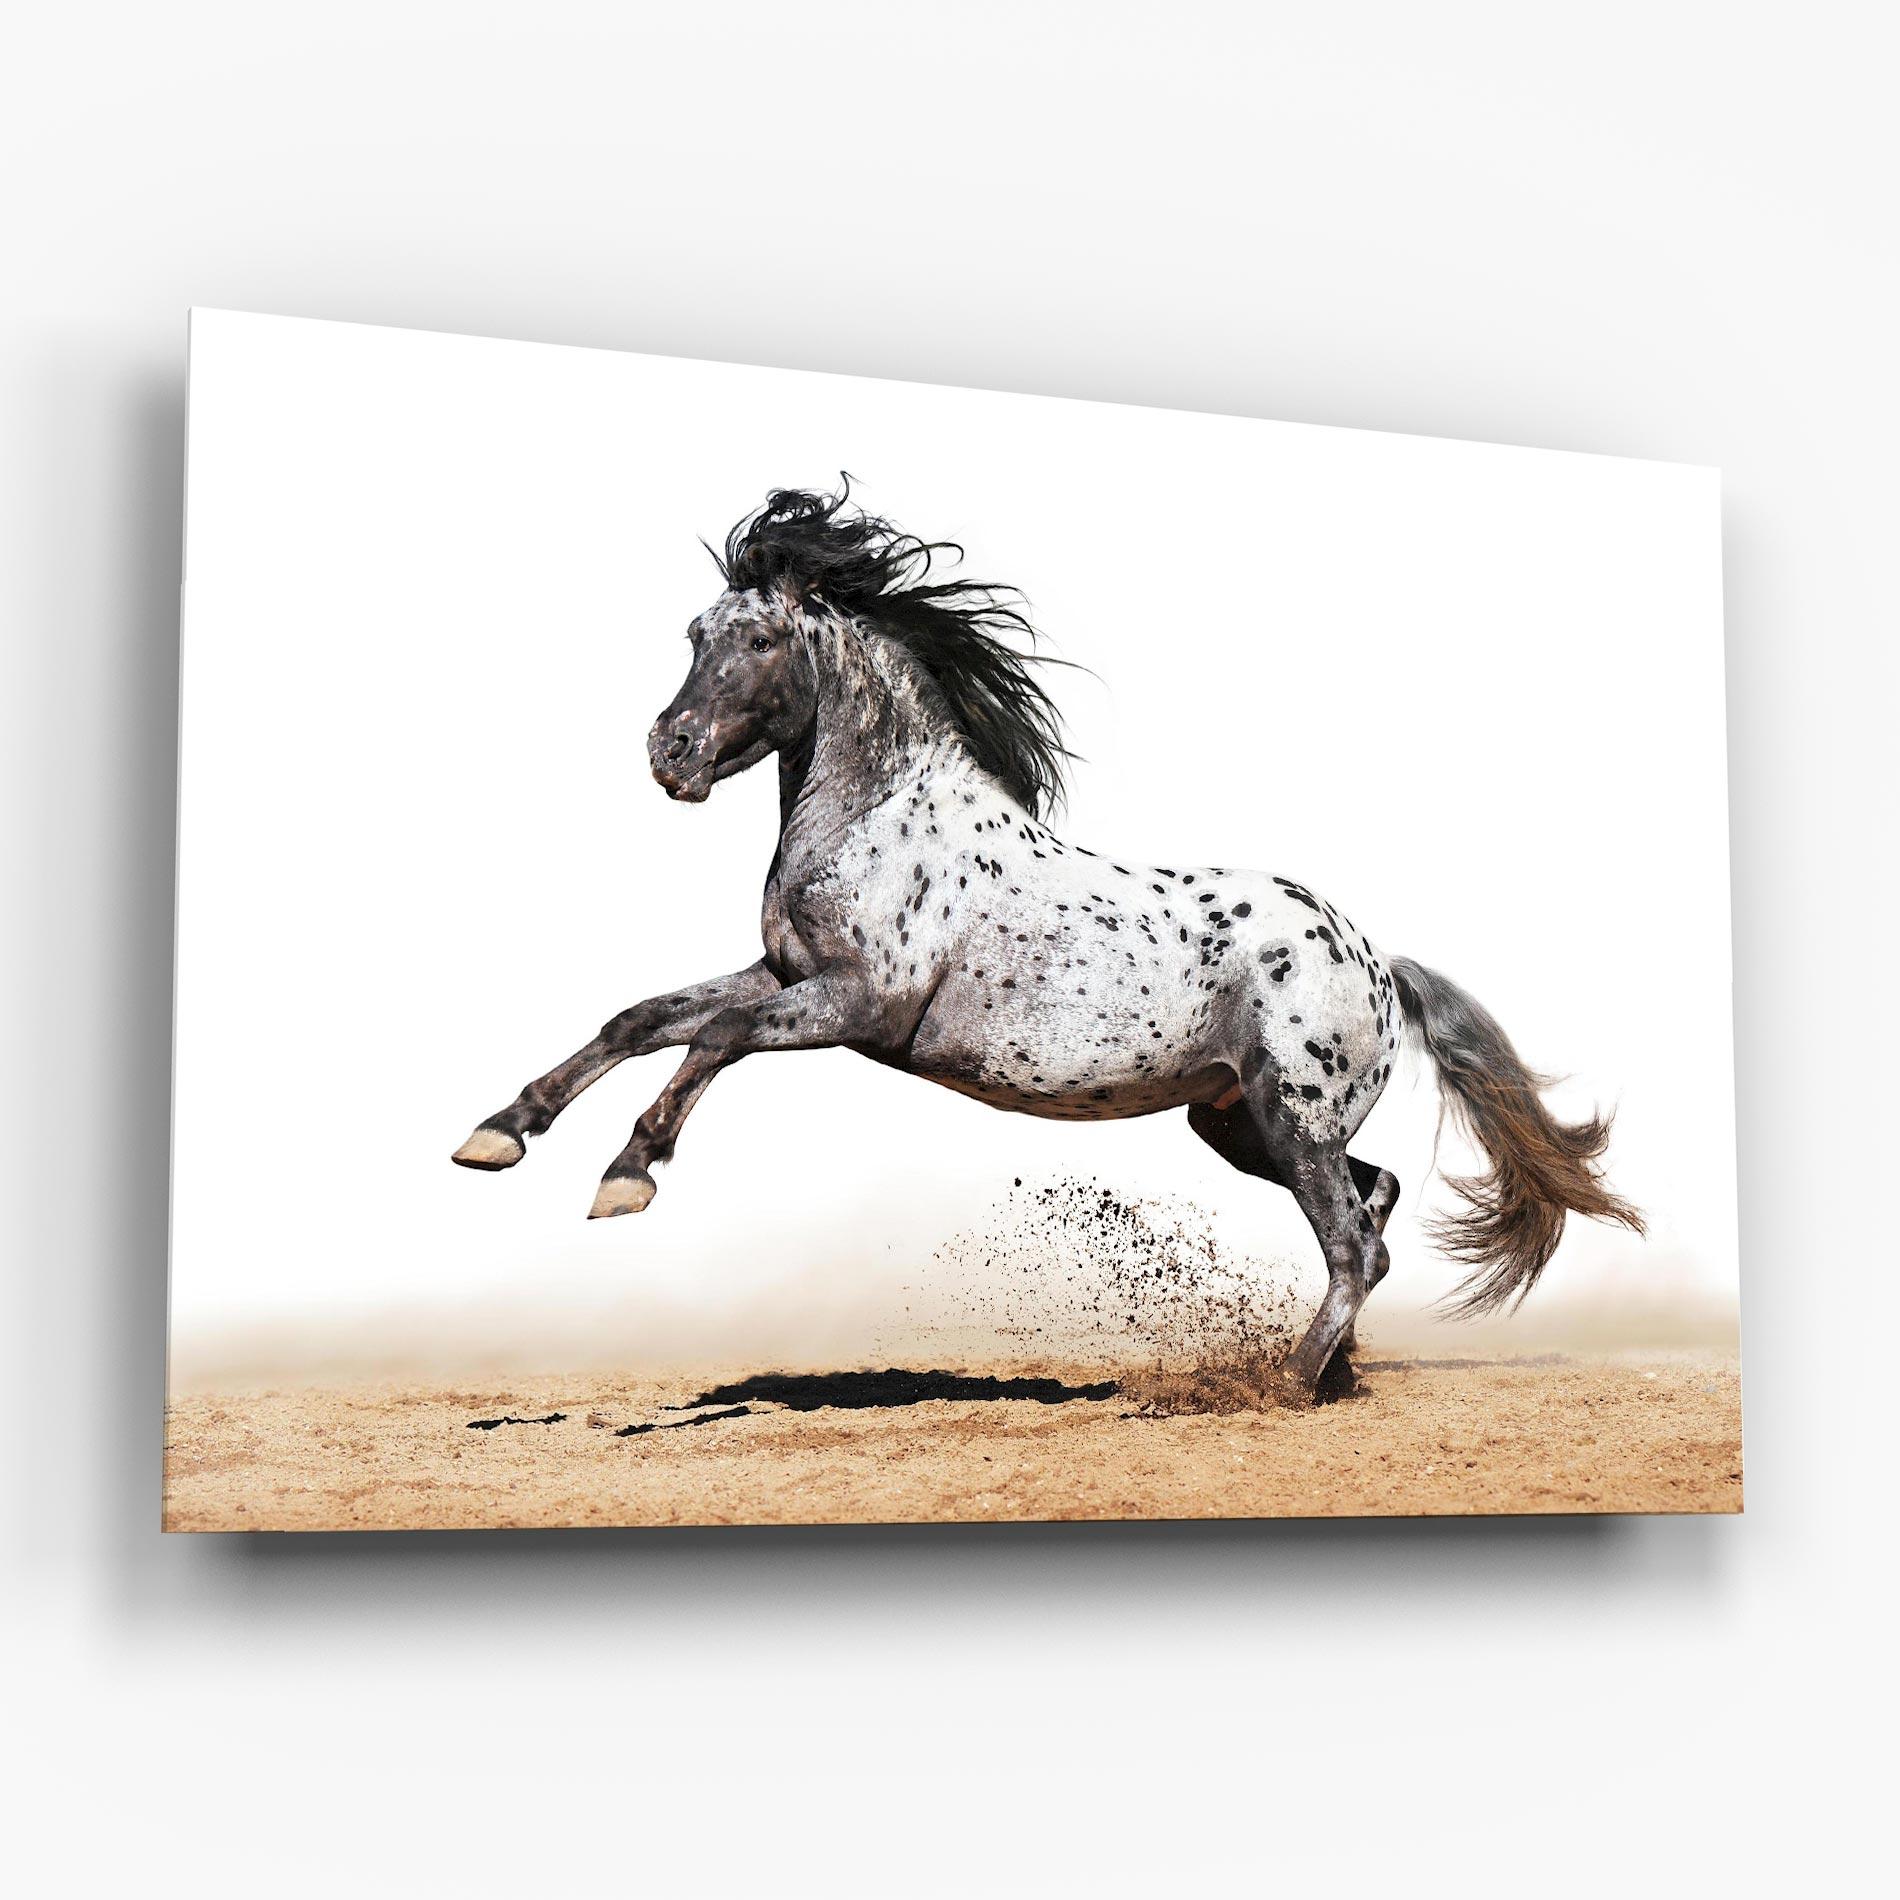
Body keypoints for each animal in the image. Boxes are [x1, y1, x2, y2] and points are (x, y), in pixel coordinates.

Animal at [452, 483, 1643, 1401]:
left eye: (759, 638)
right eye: (694, 636)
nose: (673, 752)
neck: (884, 817)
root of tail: (1377, 962)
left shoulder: (853, 1007)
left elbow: (715, 1039)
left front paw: (625, 1174)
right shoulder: (786, 975)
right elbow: (646, 1018)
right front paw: (502, 1136)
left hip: (1290, 1118)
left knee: (1353, 1240)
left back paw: (1286, 1385)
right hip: (1237, 1121)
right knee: (1378, 1208)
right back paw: (1337, 1371)